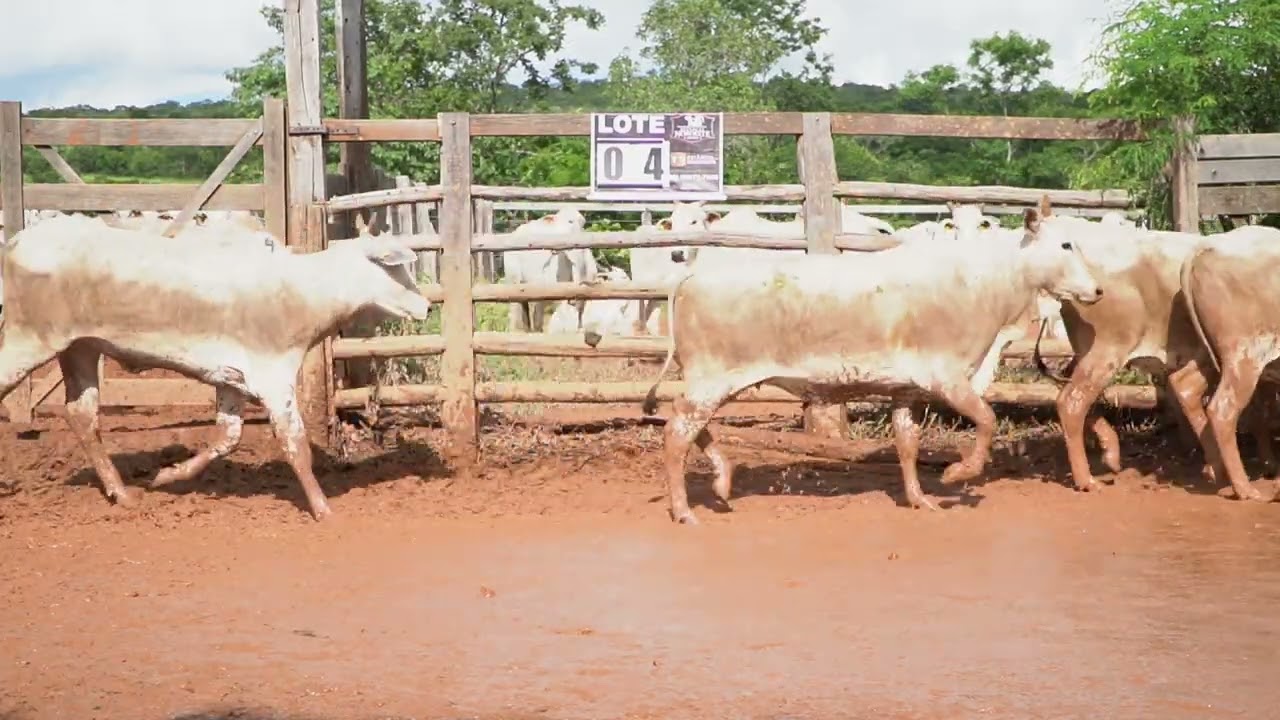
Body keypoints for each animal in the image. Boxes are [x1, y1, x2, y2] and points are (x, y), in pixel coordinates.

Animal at [0, 213, 430, 520]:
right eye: (394, 267)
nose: (427, 306)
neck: (300, 291)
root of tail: (19, 240)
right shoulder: (274, 377)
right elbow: (295, 444)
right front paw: (323, 509)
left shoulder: (232, 379)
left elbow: (228, 437)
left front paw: (168, 475)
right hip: (28, 340)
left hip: (81, 348)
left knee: (82, 414)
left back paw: (122, 494)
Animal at [642, 207, 1105, 524]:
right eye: (1066, 244)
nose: (1098, 289)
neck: (980, 284)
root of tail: (691, 277)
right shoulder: (947, 376)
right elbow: (987, 419)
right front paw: (957, 474)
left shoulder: (907, 390)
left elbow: (907, 443)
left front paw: (920, 498)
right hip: (711, 378)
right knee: (677, 432)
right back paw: (684, 510)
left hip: (708, 381)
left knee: (690, 426)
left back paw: (721, 480)